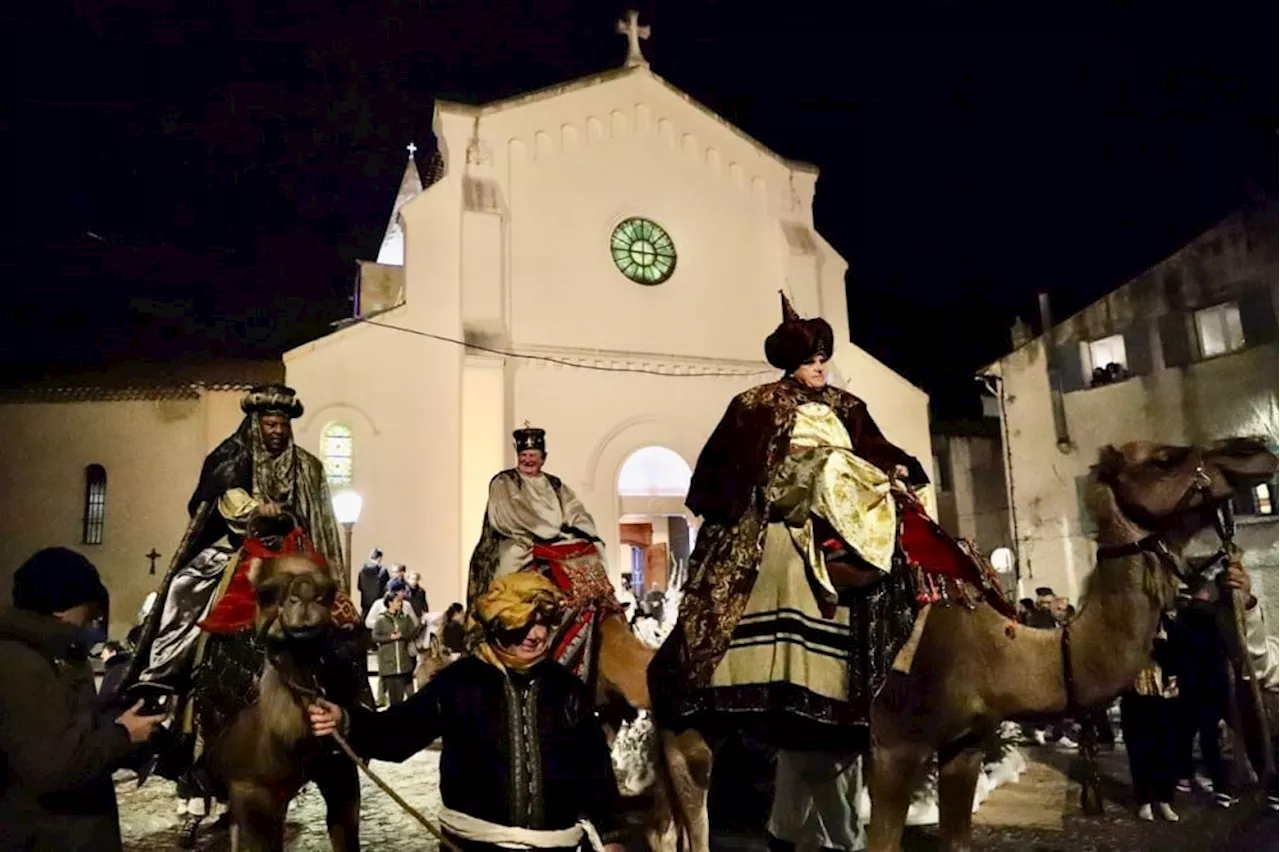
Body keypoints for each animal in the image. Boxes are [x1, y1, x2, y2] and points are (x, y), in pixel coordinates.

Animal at [645, 437, 1280, 849]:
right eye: (1166, 458)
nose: (1255, 449)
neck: (997, 649)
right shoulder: (893, 744)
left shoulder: (965, 744)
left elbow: (956, 839)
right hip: (685, 722)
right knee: (695, 822)